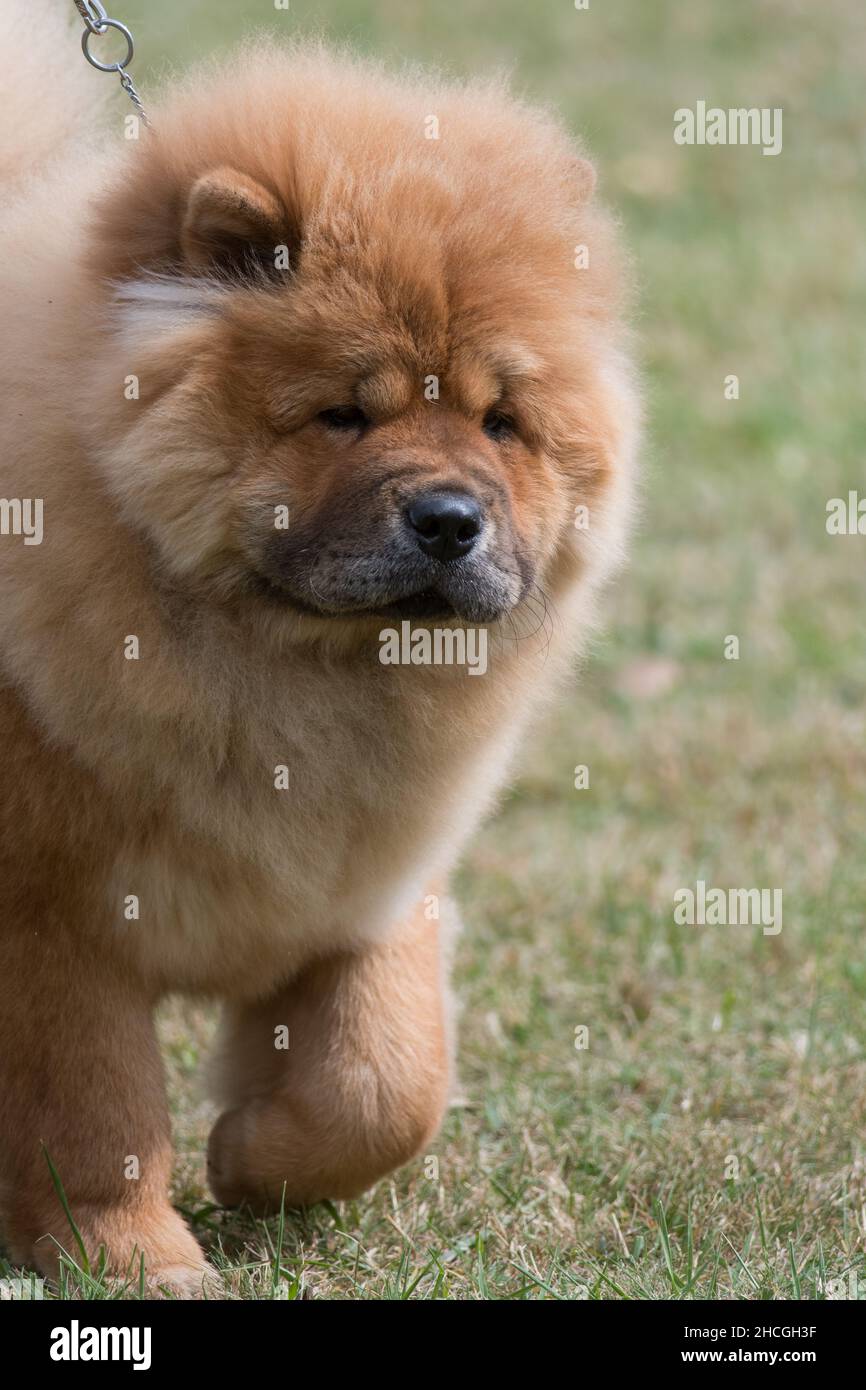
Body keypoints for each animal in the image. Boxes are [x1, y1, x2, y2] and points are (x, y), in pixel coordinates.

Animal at [0, 5, 636, 1295]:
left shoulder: (375, 878)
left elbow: (384, 1081)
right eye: (344, 412)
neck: (297, 674)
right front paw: (135, 1257)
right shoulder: (56, 918)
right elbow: (95, 1111)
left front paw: (253, 1159)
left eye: (501, 422)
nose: (448, 517)